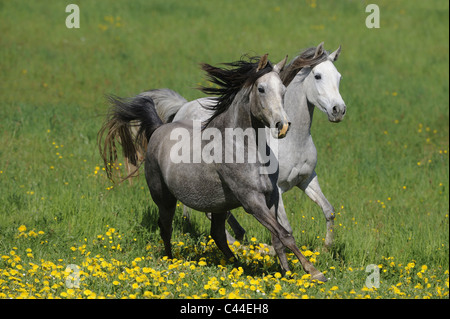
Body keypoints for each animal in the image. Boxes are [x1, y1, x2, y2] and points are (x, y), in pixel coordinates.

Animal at [99, 55, 326, 282]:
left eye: (283, 90)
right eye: (261, 89)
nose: (283, 125)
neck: (243, 148)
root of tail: (158, 128)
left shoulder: (271, 197)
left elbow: (279, 237)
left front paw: (286, 273)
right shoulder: (252, 200)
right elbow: (285, 235)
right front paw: (314, 272)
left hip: (218, 205)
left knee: (217, 234)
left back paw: (237, 265)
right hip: (165, 199)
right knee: (166, 228)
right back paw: (171, 262)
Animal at [142, 43, 346, 250]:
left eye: (339, 76)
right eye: (318, 76)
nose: (338, 110)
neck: (294, 141)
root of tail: (183, 108)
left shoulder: (307, 179)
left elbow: (329, 211)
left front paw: (326, 247)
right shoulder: (277, 190)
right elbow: (286, 228)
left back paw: (239, 235)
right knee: (210, 212)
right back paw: (237, 244)